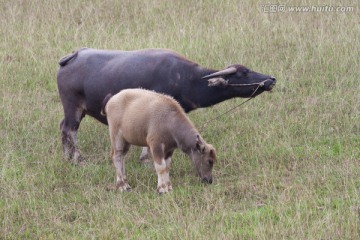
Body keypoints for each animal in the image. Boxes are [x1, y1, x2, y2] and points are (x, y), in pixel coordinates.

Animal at [57, 47, 276, 163]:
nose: (271, 79)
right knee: (70, 130)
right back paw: (77, 159)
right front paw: (146, 159)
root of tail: (72, 56)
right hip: (72, 107)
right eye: (244, 73)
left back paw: (67, 156)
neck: (187, 78)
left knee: (63, 128)